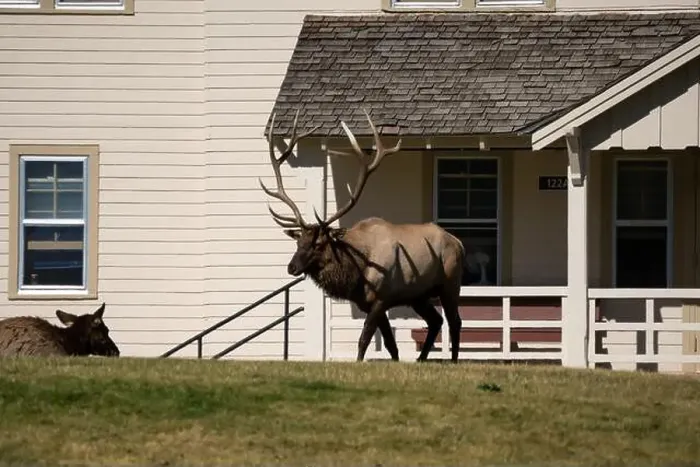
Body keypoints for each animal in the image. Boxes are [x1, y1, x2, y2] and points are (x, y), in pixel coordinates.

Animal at [259, 109, 466, 363]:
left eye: (318, 243)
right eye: (298, 241)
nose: (292, 267)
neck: (357, 269)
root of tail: (458, 242)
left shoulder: (382, 297)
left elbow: (364, 339)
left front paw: (359, 361)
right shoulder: (370, 303)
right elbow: (390, 344)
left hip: (450, 282)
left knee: (454, 321)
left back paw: (453, 360)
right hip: (419, 295)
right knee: (436, 321)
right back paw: (421, 359)